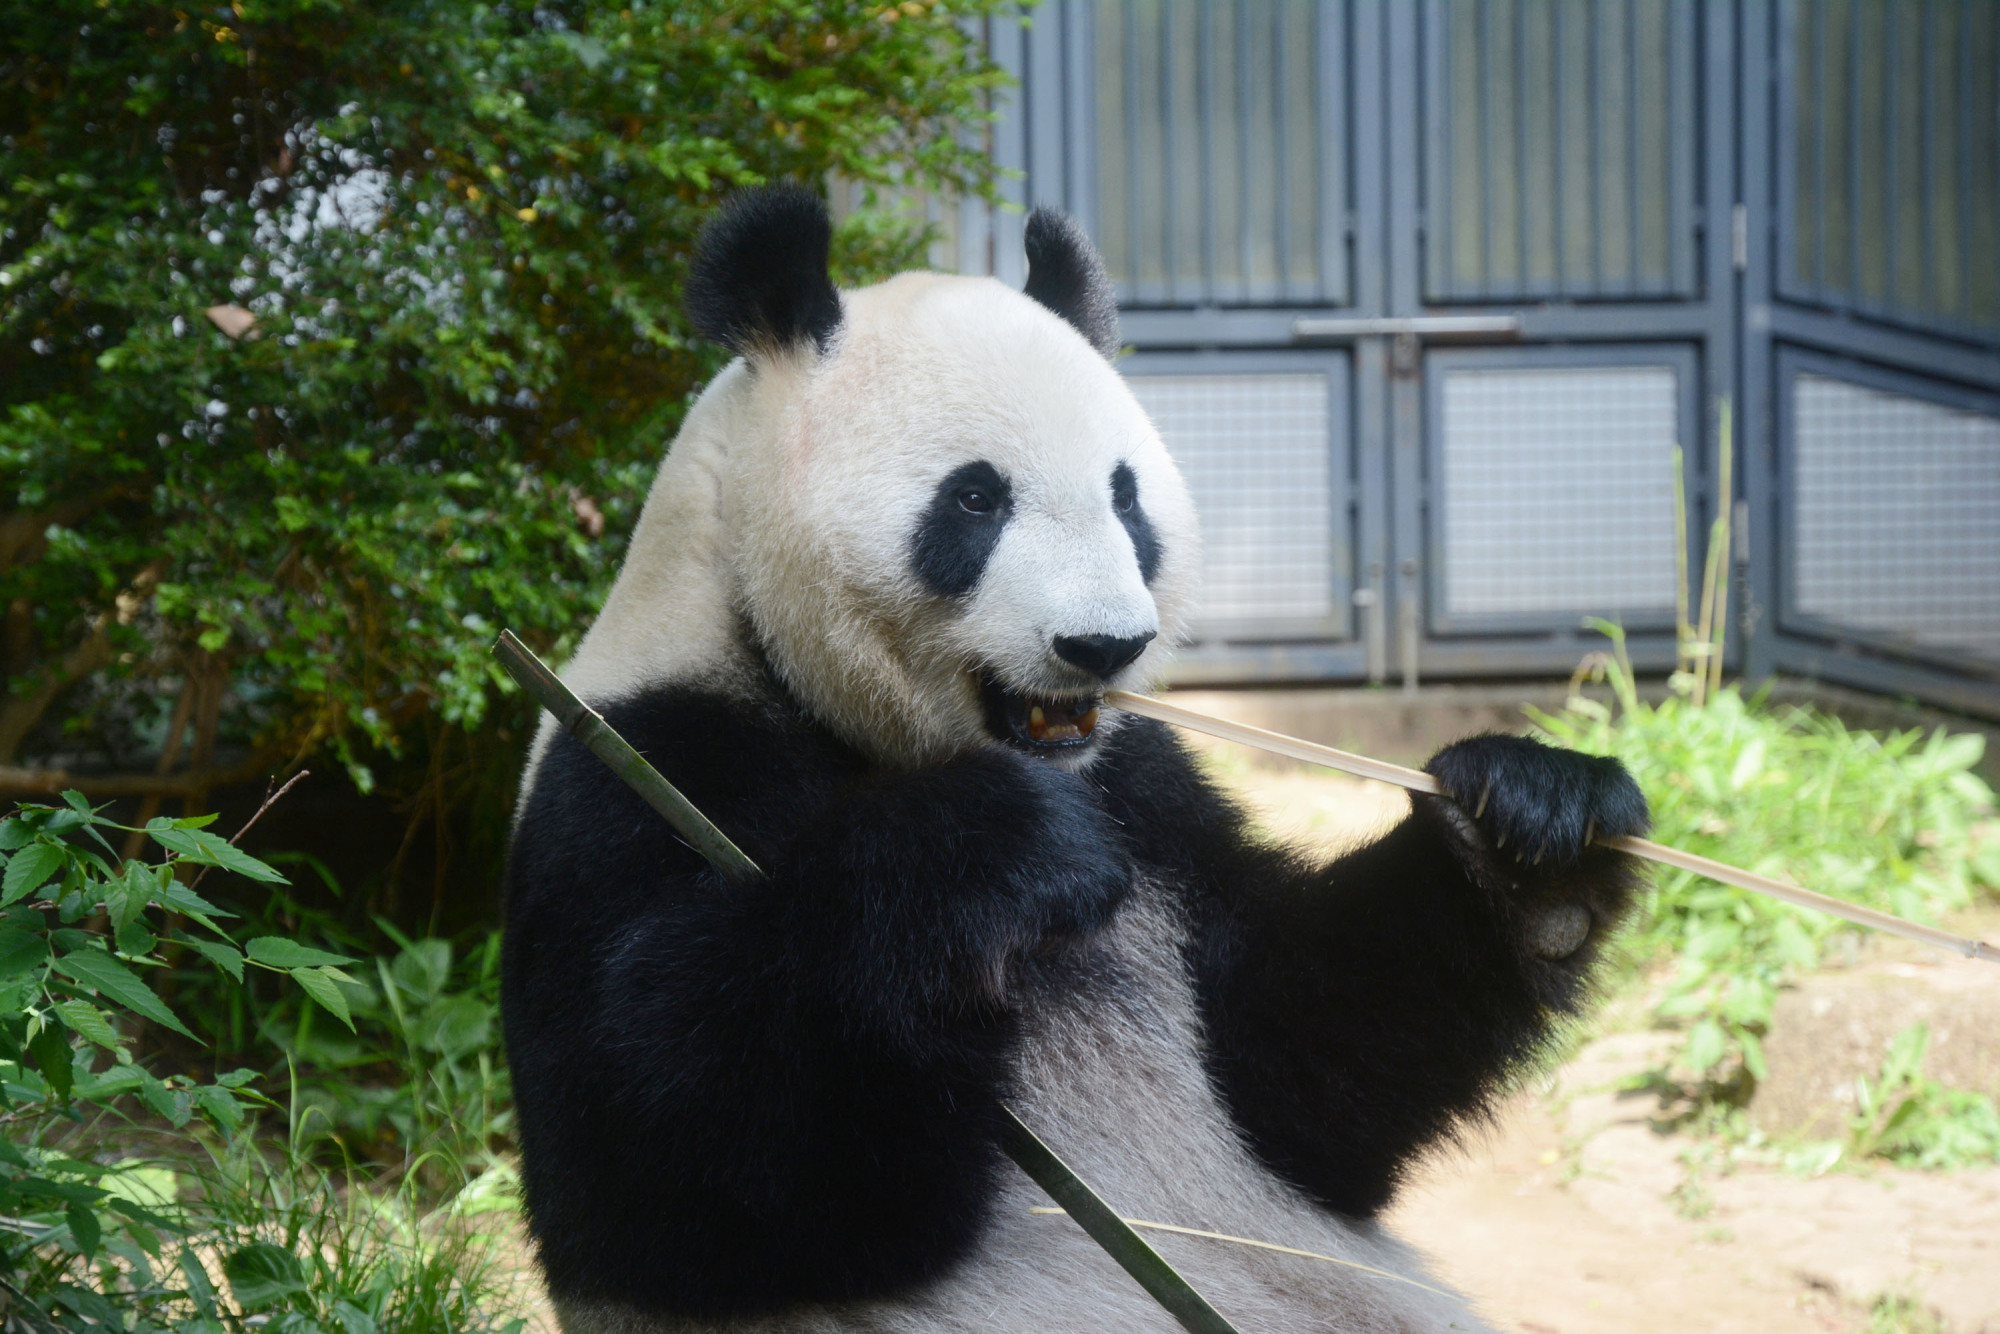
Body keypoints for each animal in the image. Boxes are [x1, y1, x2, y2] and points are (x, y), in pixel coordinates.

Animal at [496, 188, 1640, 1334]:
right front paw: (990, 851)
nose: (1103, 646)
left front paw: (1526, 836)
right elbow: (673, 1167)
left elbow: (1300, 1079)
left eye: (1125, 496)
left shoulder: (1148, 789)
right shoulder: (644, 768)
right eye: (973, 500)